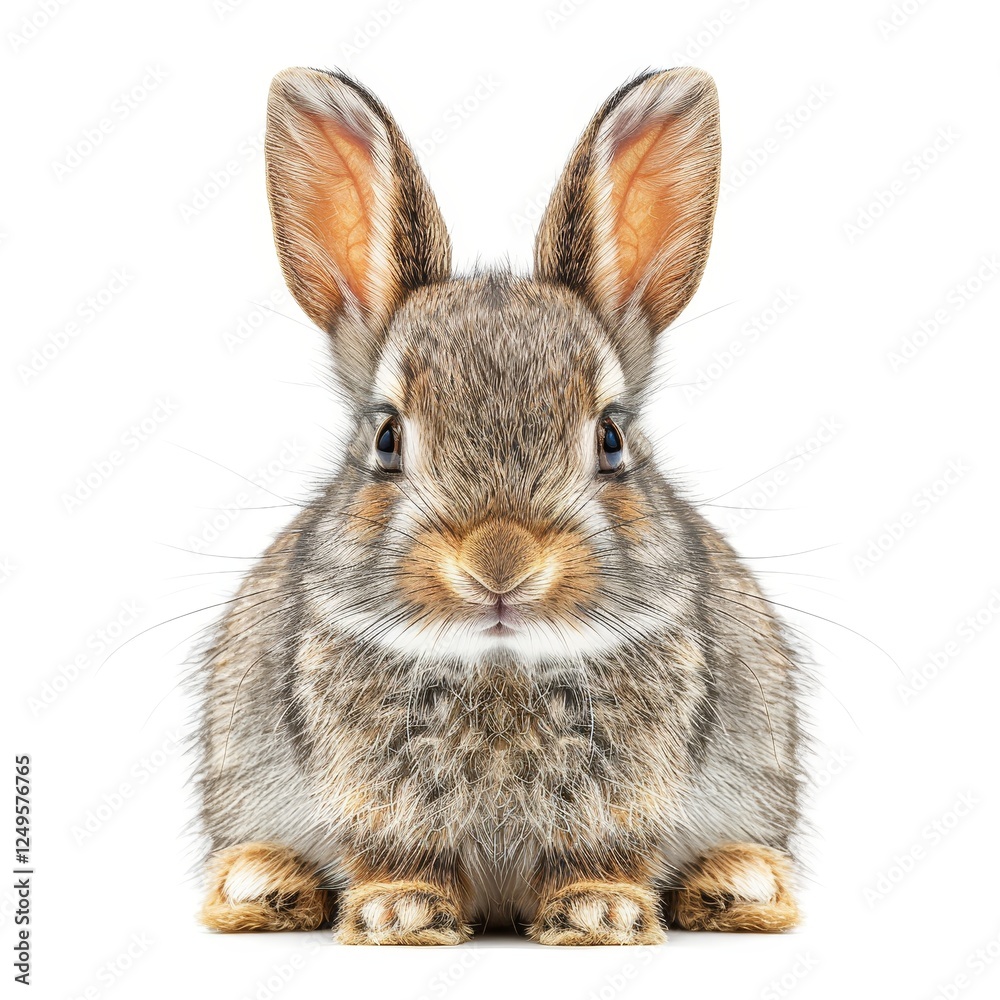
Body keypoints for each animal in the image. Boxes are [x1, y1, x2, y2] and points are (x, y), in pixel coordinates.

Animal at [193, 65, 806, 946]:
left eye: (611, 438)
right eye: (386, 438)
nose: (500, 561)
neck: (500, 663)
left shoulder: (627, 800)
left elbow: (607, 852)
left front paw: (600, 911)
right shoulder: (374, 799)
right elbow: (393, 852)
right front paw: (398, 911)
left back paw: (739, 884)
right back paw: (262, 883)